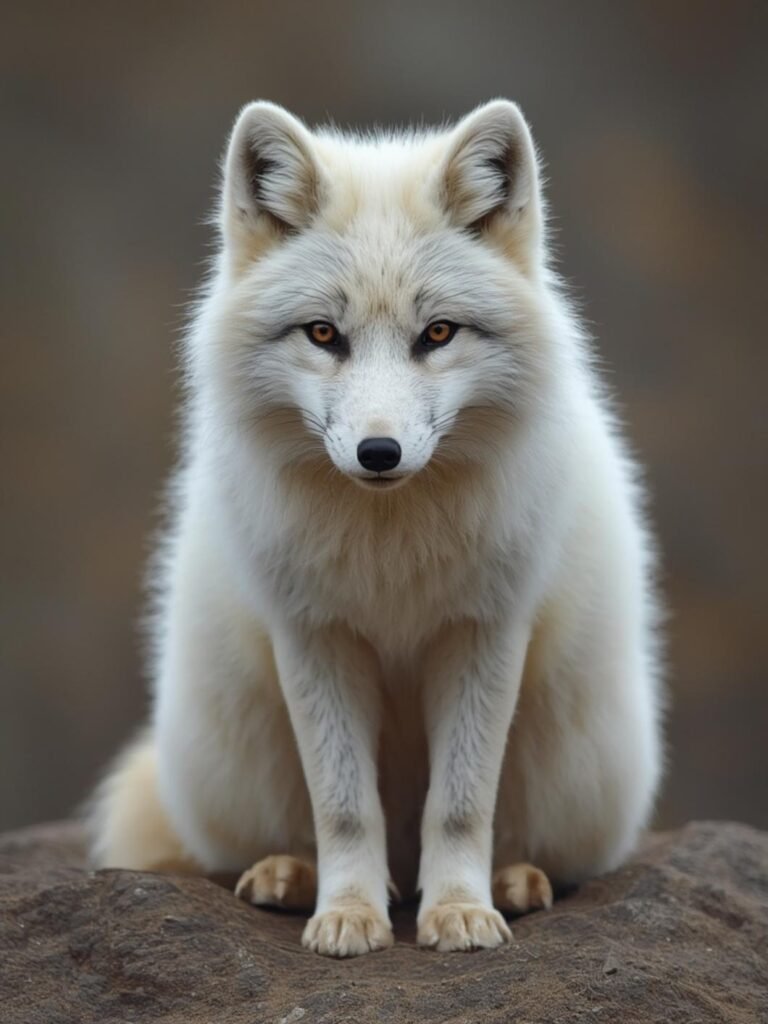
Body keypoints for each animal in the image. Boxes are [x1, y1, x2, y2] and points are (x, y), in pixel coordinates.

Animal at [88, 99, 663, 957]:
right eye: (324, 334)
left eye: (439, 334)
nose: (379, 452)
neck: (391, 547)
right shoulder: (314, 636)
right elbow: (344, 806)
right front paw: (350, 915)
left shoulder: (484, 632)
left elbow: (459, 805)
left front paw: (458, 913)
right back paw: (292, 877)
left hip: (566, 762)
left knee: (520, 841)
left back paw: (510, 881)